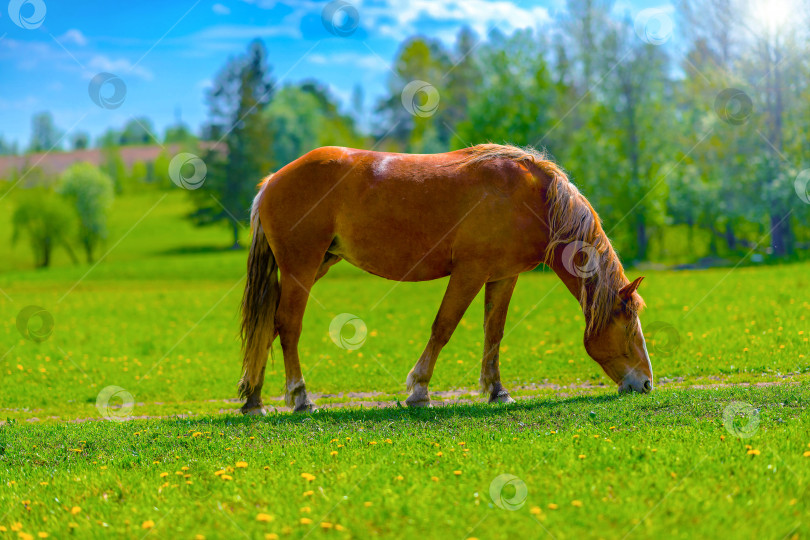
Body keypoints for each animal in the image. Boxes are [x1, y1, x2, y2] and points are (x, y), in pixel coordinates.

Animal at [235, 143, 652, 414]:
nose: (647, 383)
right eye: (629, 324)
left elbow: (493, 333)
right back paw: (300, 397)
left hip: (314, 265)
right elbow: (443, 328)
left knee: (268, 327)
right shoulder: (469, 273)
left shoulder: (503, 277)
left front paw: (498, 391)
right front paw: (419, 391)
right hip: (301, 268)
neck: (534, 200)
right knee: (288, 327)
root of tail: (273, 181)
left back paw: (254, 399)